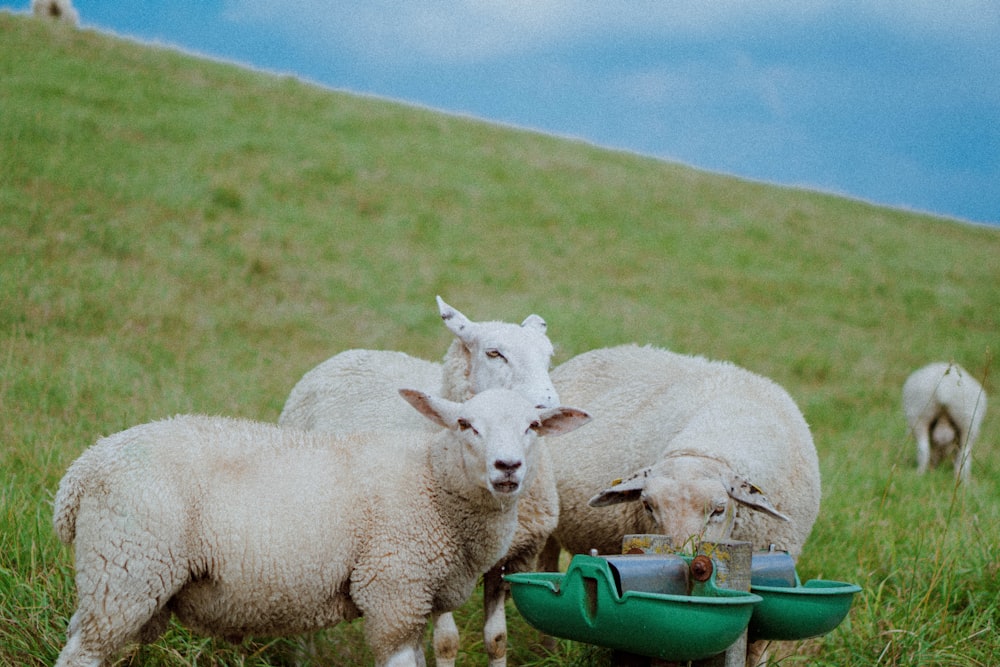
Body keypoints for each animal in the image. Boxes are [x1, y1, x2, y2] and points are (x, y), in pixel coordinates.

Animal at [50, 386, 588, 667]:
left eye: (533, 427)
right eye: (464, 425)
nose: (507, 467)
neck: (432, 484)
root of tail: (83, 470)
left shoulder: (417, 601)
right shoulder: (392, 593)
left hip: (111, 576)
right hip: (128, 569)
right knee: (82, 654)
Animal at [280, 296, 564, 667]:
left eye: (548, 355)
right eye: (494, 353)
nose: (548, 406)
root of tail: (346, 355)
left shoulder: (509, 559)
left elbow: (497, 639)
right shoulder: (431, 559)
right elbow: (446, 642)